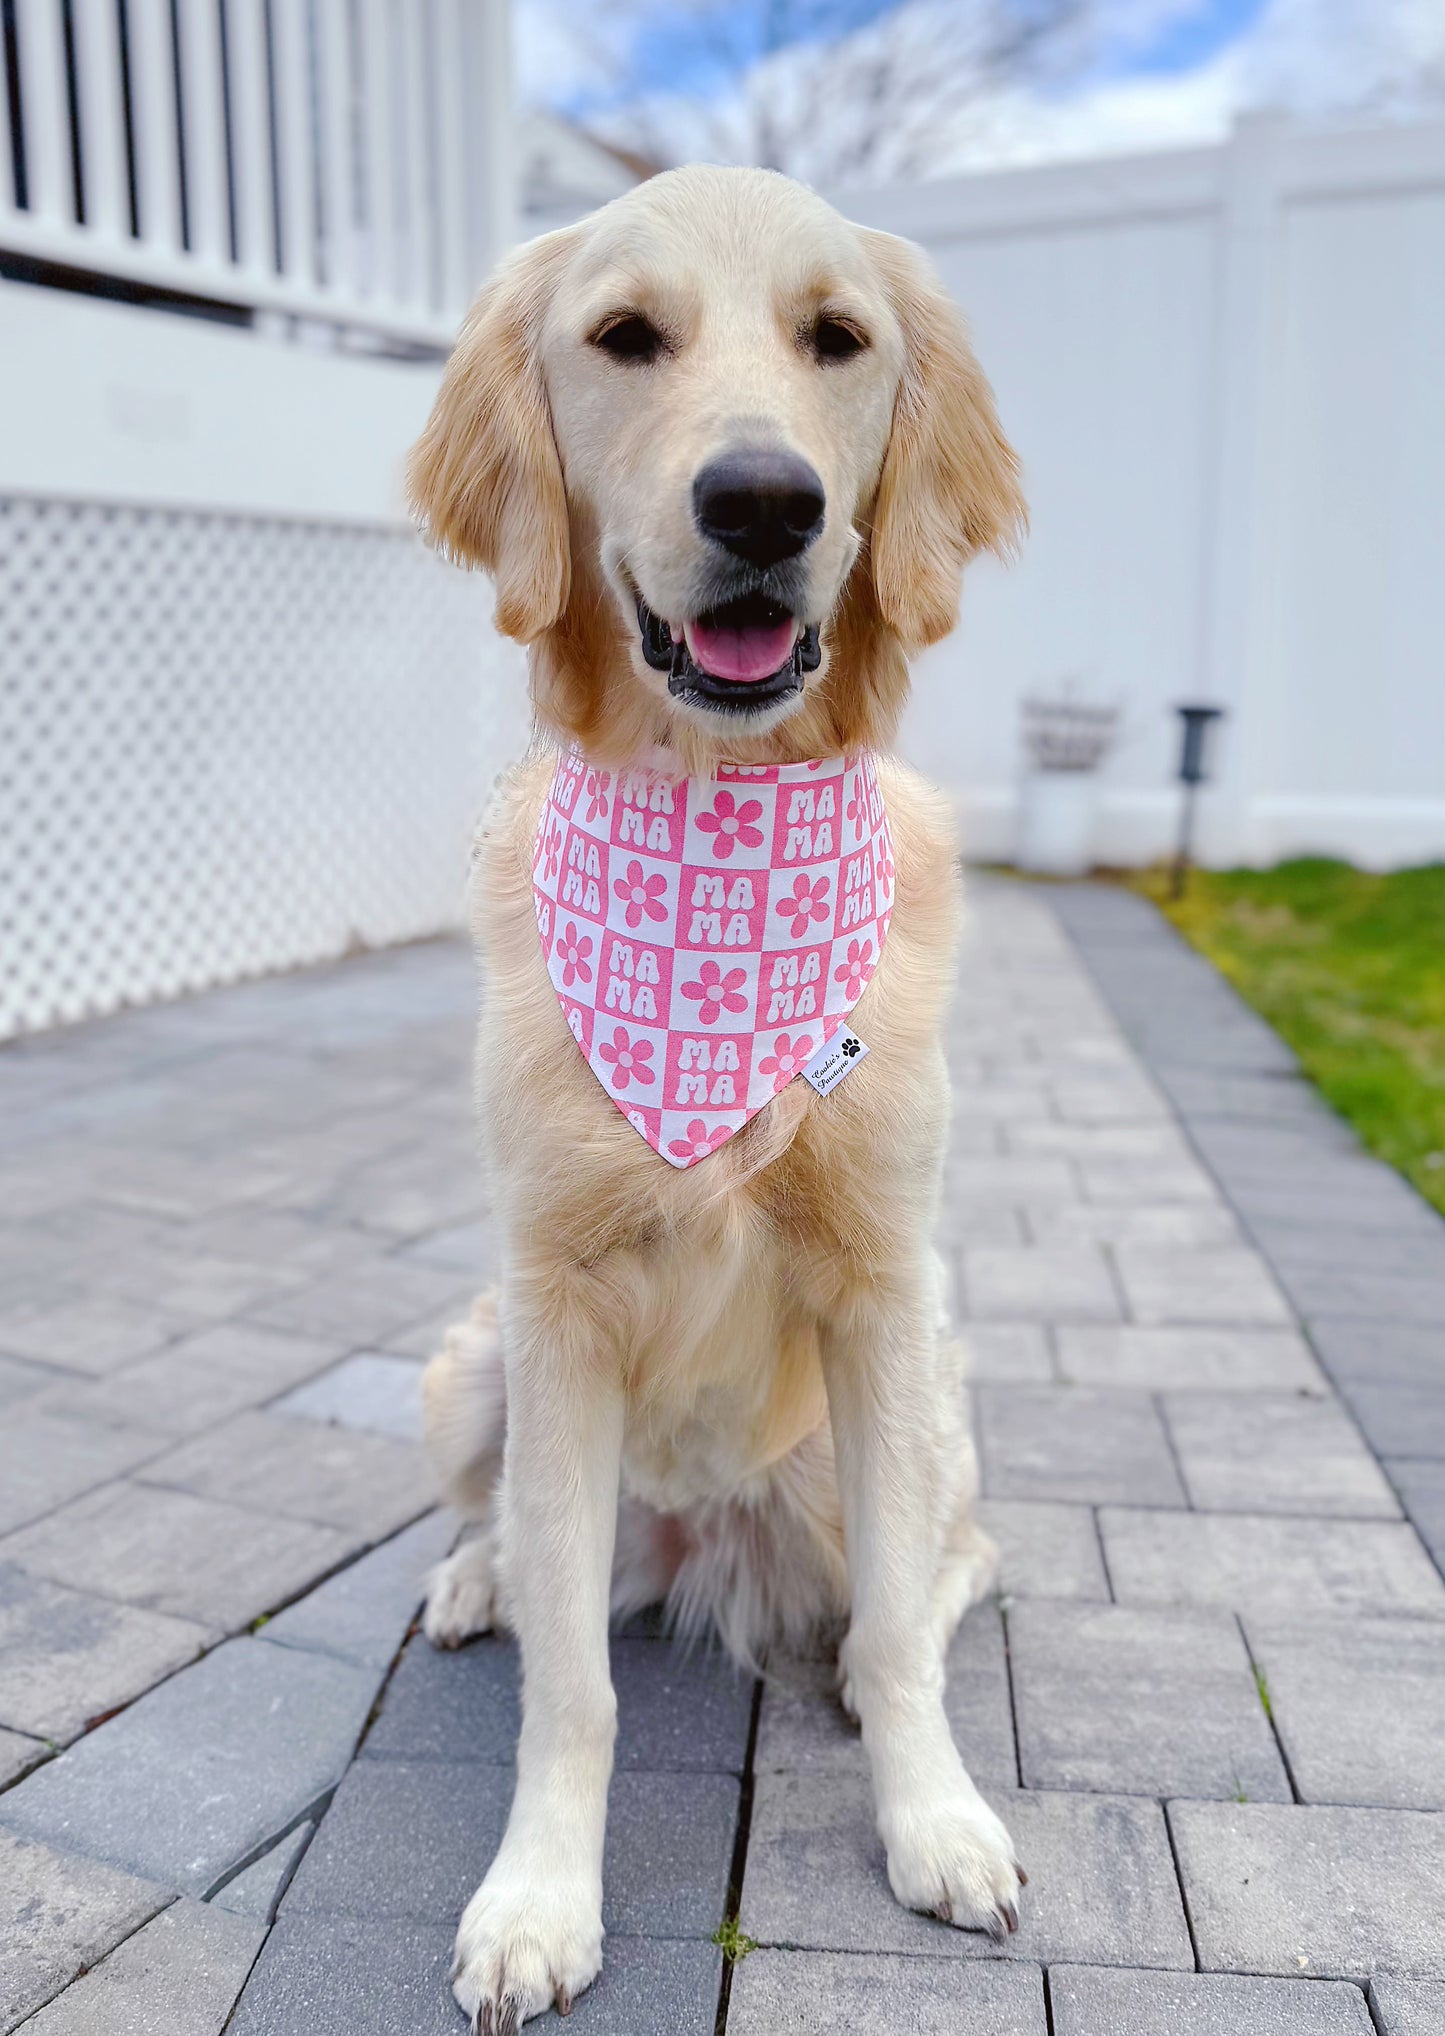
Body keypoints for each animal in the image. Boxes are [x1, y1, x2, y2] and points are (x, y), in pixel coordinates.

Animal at [411, 166, 1029, 2027]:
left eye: (839, 338)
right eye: (625, 336)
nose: (764, 502)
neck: (718, 819)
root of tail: (705, 1543)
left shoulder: (886, 1288)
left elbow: (898, 1625)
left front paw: (936, 1824)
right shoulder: (553, 1303)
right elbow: (571, 1687)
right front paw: (537, 1899)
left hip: (908, 1417)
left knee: (951, 1571)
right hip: (476, 1366)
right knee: (536, 1560)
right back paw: (477, 1576)